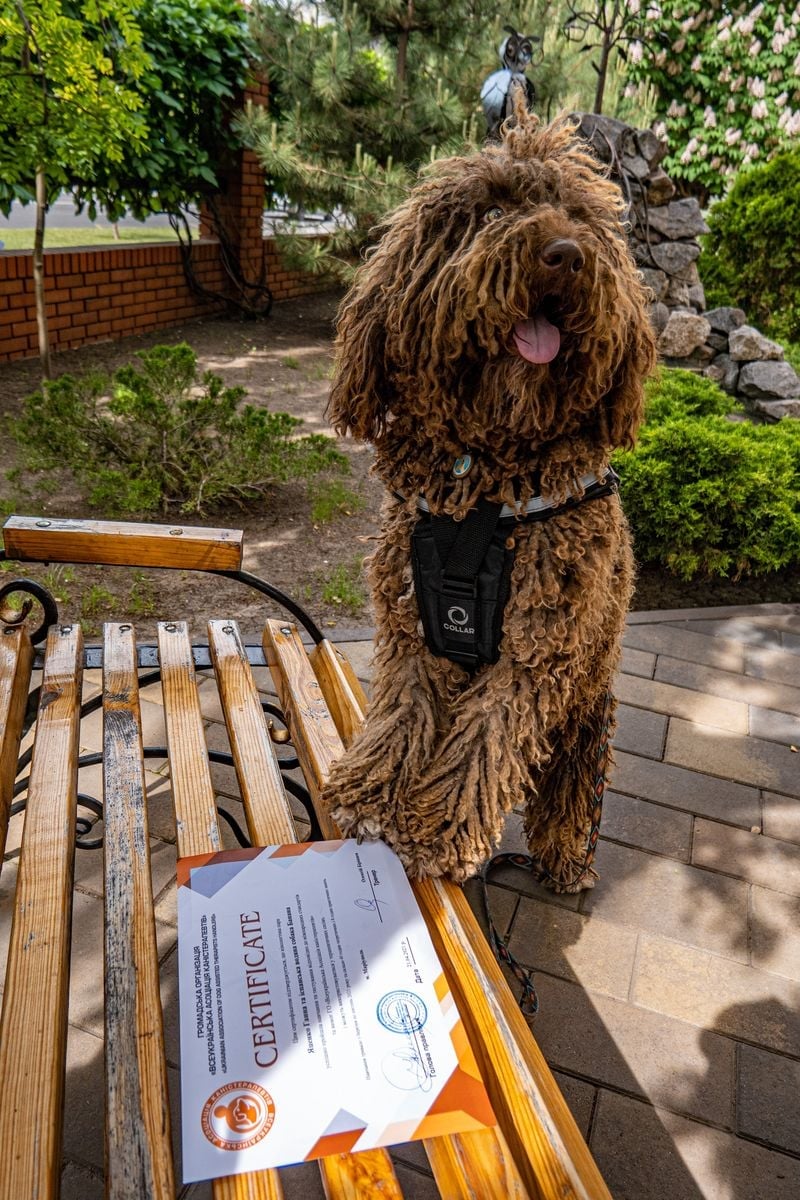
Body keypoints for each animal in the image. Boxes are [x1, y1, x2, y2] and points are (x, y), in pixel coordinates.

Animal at [319, 114, 657, 892]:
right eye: (493, 209)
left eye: (583, 216)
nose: (566, 254)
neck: (487, 475)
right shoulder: (412, 625)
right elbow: (404, 713)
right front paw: (371, 796)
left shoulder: (538, 649)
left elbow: (486, 740)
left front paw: (436, 831)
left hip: (587, 712)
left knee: (571, 785)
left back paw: (566, 859)